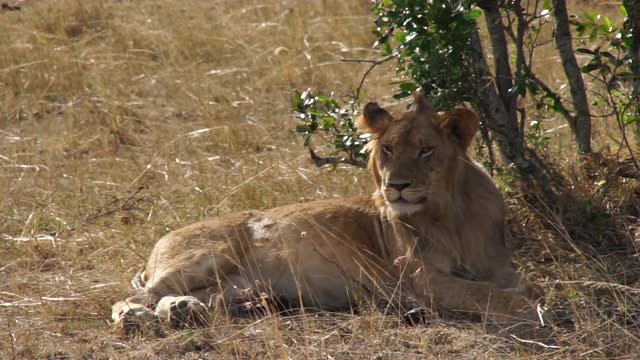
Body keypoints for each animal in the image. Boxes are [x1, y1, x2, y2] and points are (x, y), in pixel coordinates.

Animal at [112, 92, 544, 334]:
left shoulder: (496, 264)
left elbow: (521, 284)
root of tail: (157, 247)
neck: (450, 214)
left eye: (425, 150)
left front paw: (529, 296)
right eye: (388, 149)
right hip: (209, 253)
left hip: (241, 288)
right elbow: (482, 292)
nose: (397, 186)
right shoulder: (418, 278)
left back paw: (184, 311)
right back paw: (139, 317)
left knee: (190, 297)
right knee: (132, 297)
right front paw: (524, 309)